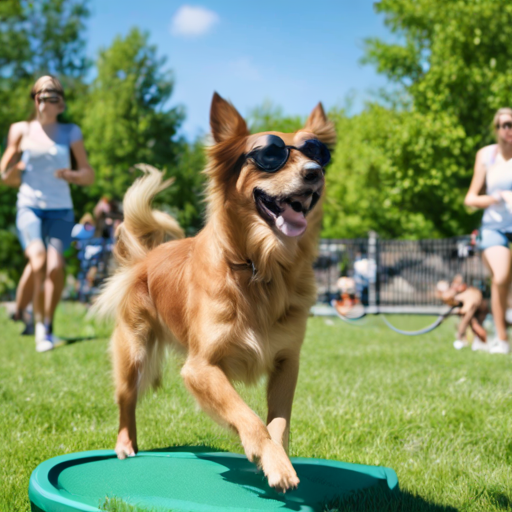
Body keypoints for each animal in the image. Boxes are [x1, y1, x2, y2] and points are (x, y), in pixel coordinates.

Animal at [93, 91, 336, 492]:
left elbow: (278, 421)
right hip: (133, 350)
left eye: (315, 152)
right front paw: (271, 461)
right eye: (270, 156)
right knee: (125, 400)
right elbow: (245, 414)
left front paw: (277, 456)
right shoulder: (200, 367)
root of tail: (146, 257)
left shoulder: (287, 361)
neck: (261, 267)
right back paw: (126, 444)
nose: (314, 172)